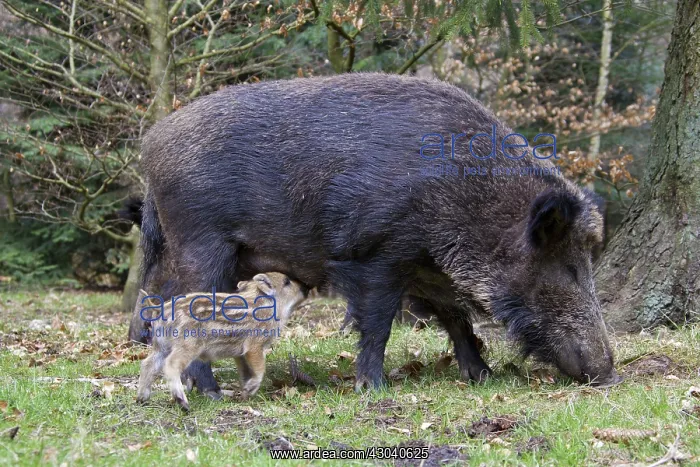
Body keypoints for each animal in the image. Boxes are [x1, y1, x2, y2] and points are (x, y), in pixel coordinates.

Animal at [135, 73, 622, 392]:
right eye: (568, 266)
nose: (607, 373)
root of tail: (151, 146)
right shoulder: (377, 254)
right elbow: (378, 323)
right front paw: (373, 388)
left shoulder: (431, 269)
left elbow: (457, 318)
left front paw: (482, 377)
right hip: (201, 240)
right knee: (187, 309)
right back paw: (211, 392)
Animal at [136, 272, 306, 411]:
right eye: (287, 281)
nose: (304, 287)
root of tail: (160, 310)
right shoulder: (254, 346)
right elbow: (259, 368)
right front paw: (251, 388)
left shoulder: (239, 353)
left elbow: (245, 372)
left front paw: (245, 394)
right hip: (188, 345)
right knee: (171, 364)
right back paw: (183, 403)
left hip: (161, 346)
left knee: (147, 364)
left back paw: (141, 399)